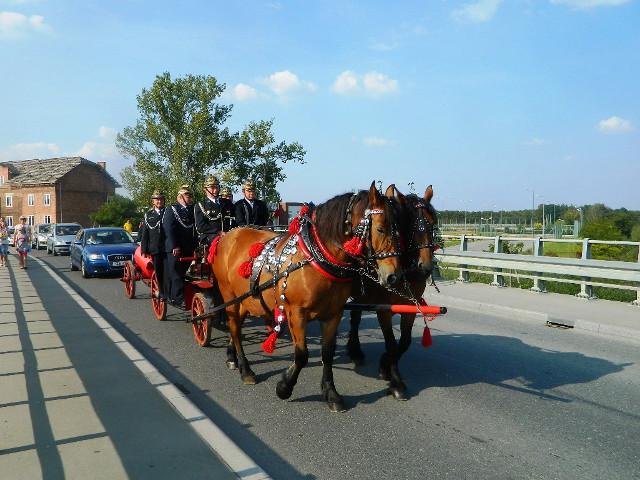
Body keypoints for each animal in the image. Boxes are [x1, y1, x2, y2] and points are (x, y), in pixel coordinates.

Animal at [210, 182, 403, 412]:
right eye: (380, 228)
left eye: (398, 228)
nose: (393, 276)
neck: (316, 257)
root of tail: (227, 235)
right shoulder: (296, 312)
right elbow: (301, 355)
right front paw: (284, 386)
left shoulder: (334, 314)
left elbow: (327, 353)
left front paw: (331, 393)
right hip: (228, 294)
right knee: (234, 328)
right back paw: (245, 369)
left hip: (245, 299)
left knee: (235, 326)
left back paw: (233, 357)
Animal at [346, 185, 439, 400]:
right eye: (411, 224)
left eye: (432, 224)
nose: (426, 266)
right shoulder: (384, 309)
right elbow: (390, 342)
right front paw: (396, 382)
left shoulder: (409, 307)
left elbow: (403, 342)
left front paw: (385, 366)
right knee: (354, 318)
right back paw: (355, 351)